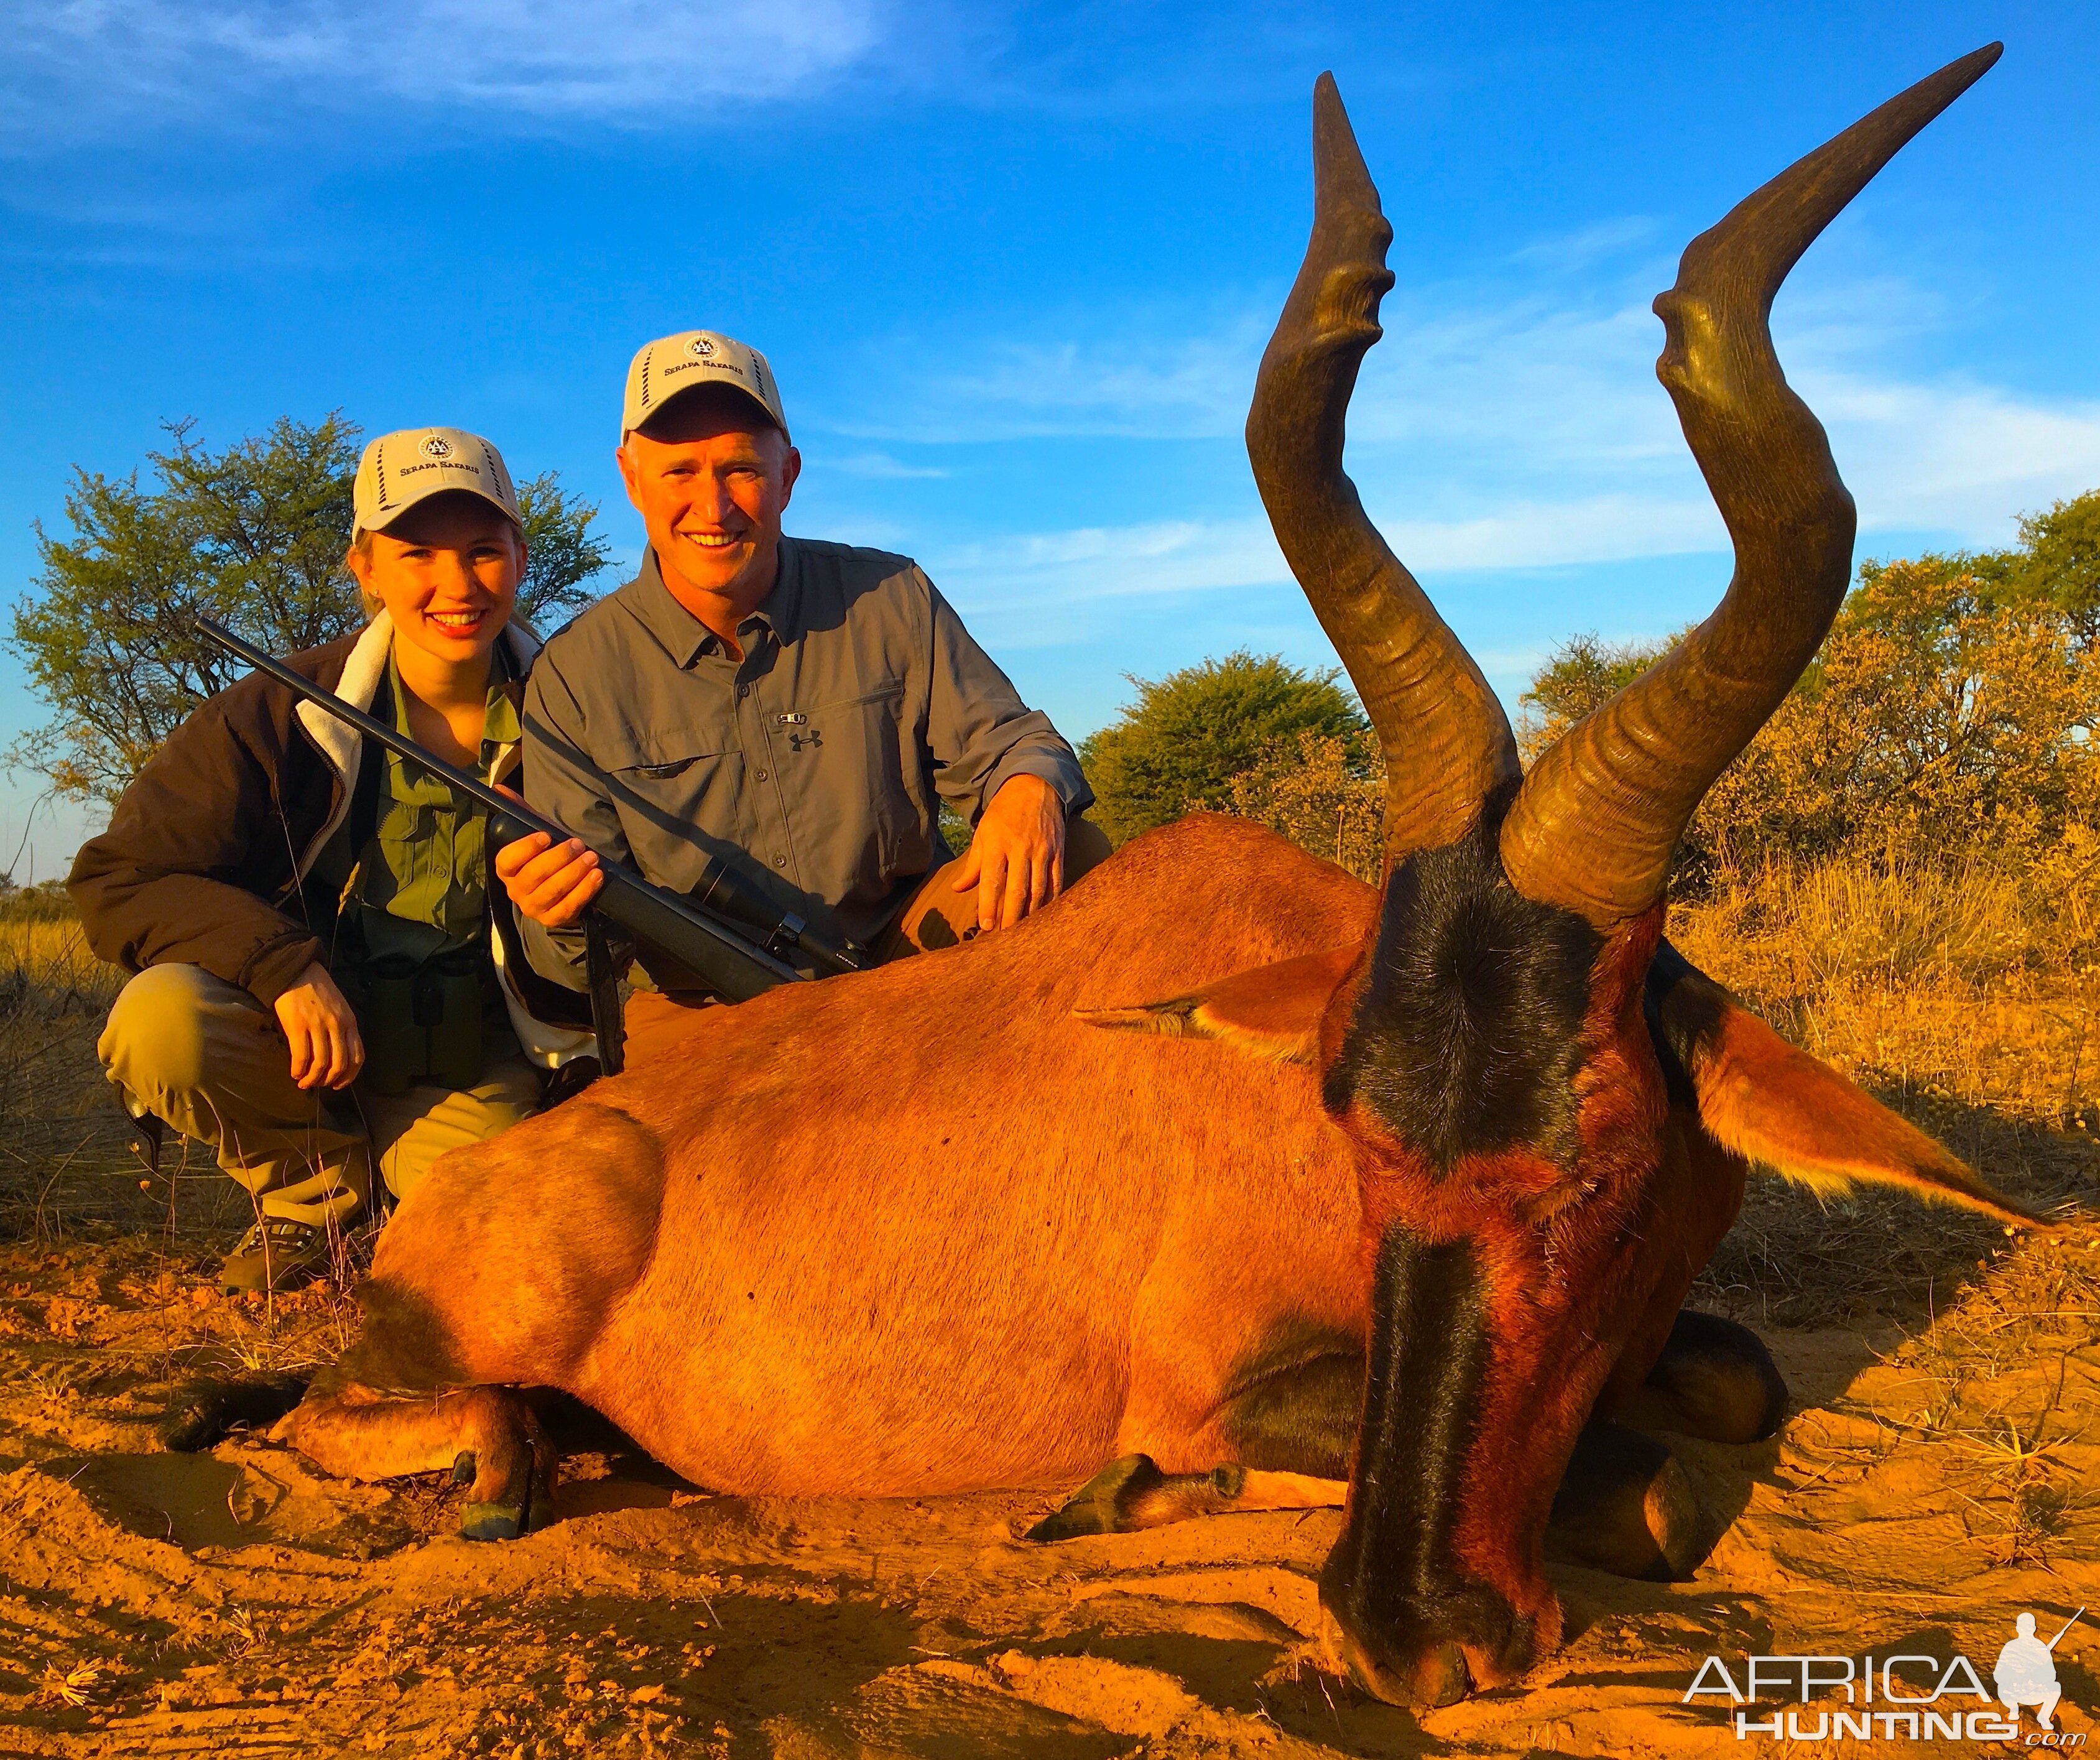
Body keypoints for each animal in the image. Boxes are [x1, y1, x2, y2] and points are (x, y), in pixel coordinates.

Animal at [172, 52, 2041, 1705]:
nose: (1414, 1633)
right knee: (351, 1412)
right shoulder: (1217, 1381)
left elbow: (1734, 1385)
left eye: (1610, 1169)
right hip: (437, 1340)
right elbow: (1650, 1486)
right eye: (1358, 1136)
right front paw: (1127, 1490)